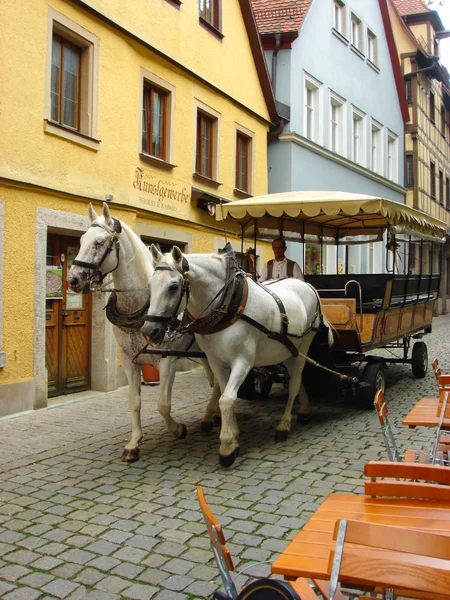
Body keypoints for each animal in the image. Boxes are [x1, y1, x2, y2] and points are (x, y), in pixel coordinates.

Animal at [67, 204, 220, 462]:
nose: (73, 279)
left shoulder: (167, 361)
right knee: (215, 380)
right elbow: (135, 402)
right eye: (80, 239)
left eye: (99, 242)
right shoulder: (130, 360)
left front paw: (177, 429)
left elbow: (163, 404)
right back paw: (213, 415)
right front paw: (133, 443)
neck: (141, 306)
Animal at [142, 245, 334, 468]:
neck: (227, 304)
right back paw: (303, 409)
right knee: (297, 377)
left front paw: (226, 446)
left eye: (173, 287)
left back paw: (284, 425)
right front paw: (233, 436)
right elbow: (225, 395)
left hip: (305, 342)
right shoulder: (216, 361)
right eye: (150, 285)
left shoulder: (243, 361)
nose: (149, 331)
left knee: (294, 383)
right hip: (286, 349)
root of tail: (308, 285)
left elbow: (226, 399)